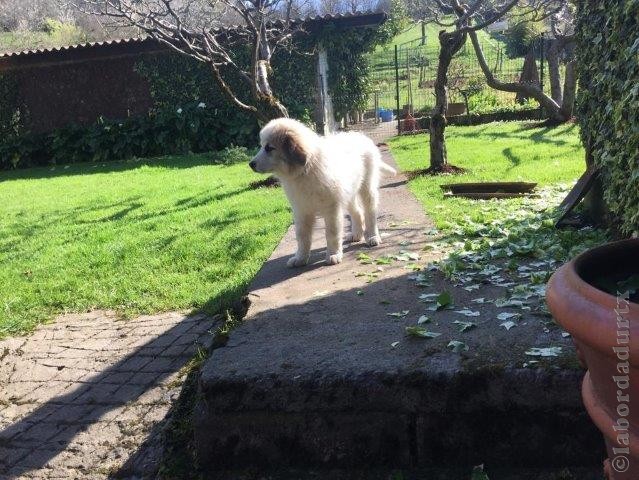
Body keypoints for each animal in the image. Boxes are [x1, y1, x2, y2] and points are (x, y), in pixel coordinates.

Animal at [250, 116, 396, 266]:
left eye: (269, 148)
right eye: (262, 146)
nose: (251, 164)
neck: (305, 170)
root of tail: (360, 136)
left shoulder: (332, 208)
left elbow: (332, 233)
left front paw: (333, 255)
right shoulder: (301, 209)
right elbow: (302, 236)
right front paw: (300, 258)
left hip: (367, 187)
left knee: (369, 212)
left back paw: (373, 237)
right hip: (348, 193)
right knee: (358, 212)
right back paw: (356, 235)